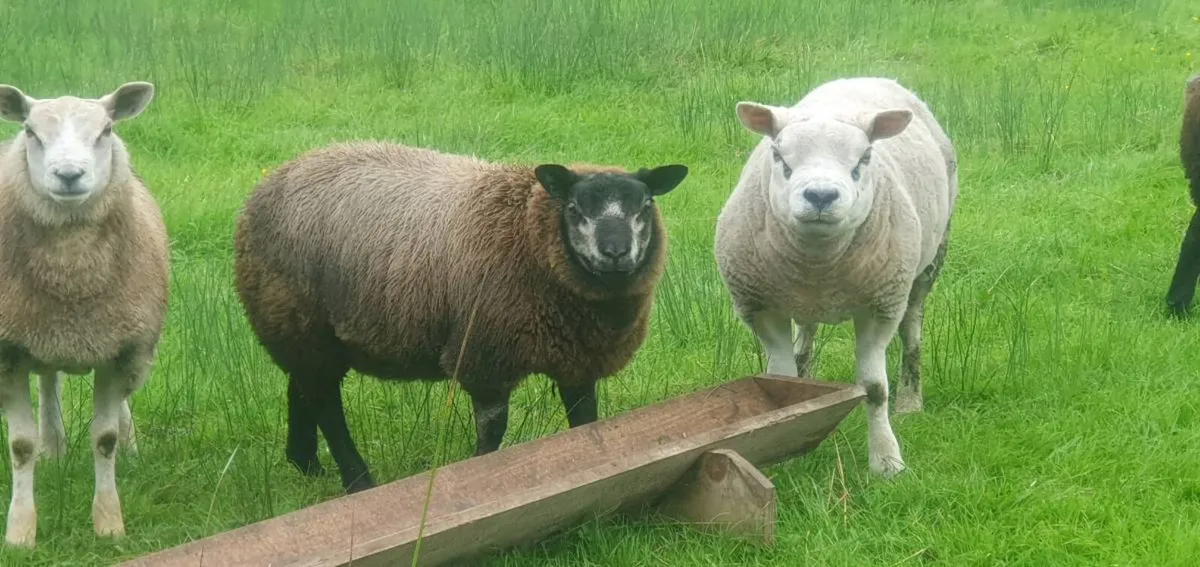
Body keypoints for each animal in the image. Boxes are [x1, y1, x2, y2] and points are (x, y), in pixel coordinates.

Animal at [0, 82, 168, 547]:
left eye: (106, 129)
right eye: (30, 131)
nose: (69, 175)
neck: (71, 280)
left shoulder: (120, 349)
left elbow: (104, 439)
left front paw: (109, 524)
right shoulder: (10, 352)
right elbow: (20, 446)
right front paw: (20, 532)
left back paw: (130, 445)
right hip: (43, 338)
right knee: (49, 380)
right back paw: (53, 445)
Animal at [233, 141, 688, 493]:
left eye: (646, 204)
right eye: (574, 208)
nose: (615, 253)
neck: (528, 237)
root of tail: (270, 182)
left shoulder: (577, 359)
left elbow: (584, 421)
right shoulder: (485, 356)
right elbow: (493, 430)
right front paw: (480, 473)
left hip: (304, 330)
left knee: (301, 389)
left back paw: (305, 464)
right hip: (299, 320)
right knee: (326, 404)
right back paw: (357, 481)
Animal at [714, 77, 957, 478]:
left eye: (864, 158)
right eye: (779, 156)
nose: (820, 195)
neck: (819, 264)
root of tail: (863, 76)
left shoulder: (880, 307)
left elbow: (874, 388)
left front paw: (887, 462)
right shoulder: (760, 306)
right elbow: (782, 380)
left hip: (925, 267)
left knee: (912, 334)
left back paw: (910, 401)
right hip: (801, 300)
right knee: (806, 337)